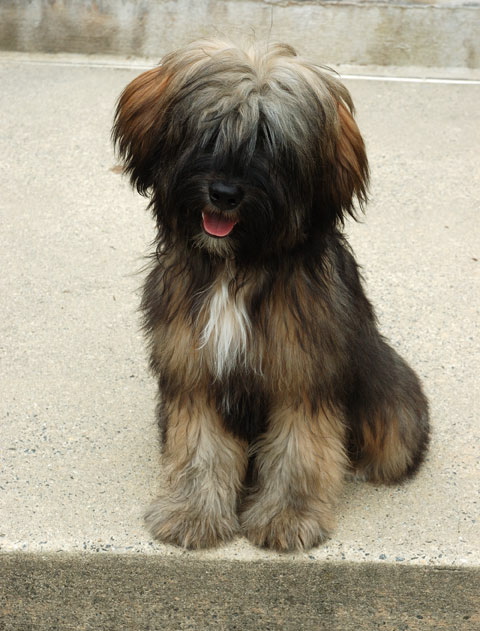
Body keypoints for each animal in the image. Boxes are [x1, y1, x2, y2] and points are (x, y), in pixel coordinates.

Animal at [113, 40, 432, 552]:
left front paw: (288, 516)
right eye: (210, 131)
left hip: (396, 410)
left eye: (269, 144)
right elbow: (201, 447)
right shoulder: (193, 370)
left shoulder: (303, 373)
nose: (224, 193)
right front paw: (193, 513)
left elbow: (299, 449)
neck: (237, 266)